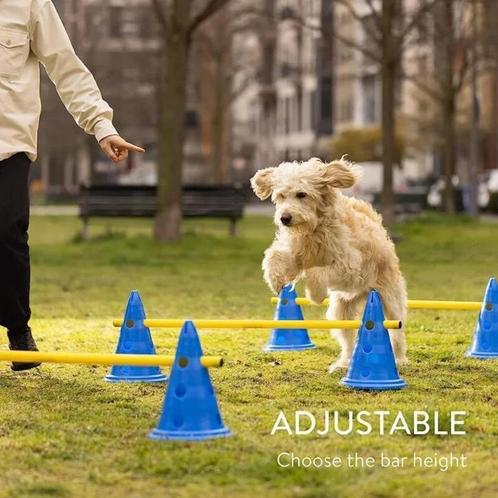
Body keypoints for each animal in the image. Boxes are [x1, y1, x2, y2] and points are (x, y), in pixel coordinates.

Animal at [251, 158, 406, 372]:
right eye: (281, 196)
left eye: (302, 194)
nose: (284, 218)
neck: (314, 230)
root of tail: (365, 293)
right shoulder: (296, 254)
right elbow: (275, 255)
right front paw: (275, 279)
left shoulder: (349, 265)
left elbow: (318, 272)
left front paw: (315, 293)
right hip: (342, 309)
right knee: (348, 339)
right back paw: (344, 363)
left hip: (389, 299)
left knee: (396, 330)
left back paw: (399, 358)